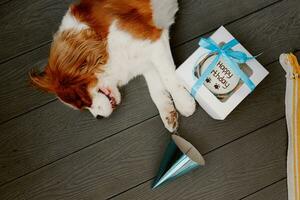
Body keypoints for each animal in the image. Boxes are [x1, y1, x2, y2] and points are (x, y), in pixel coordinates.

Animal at [29, 0, 196, 132]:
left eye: (84, 101)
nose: (99, 117)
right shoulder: (144, 60)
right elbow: (156, 89)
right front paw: (168, 113)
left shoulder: (153, 42)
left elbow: (168, 78)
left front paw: (183, 102)